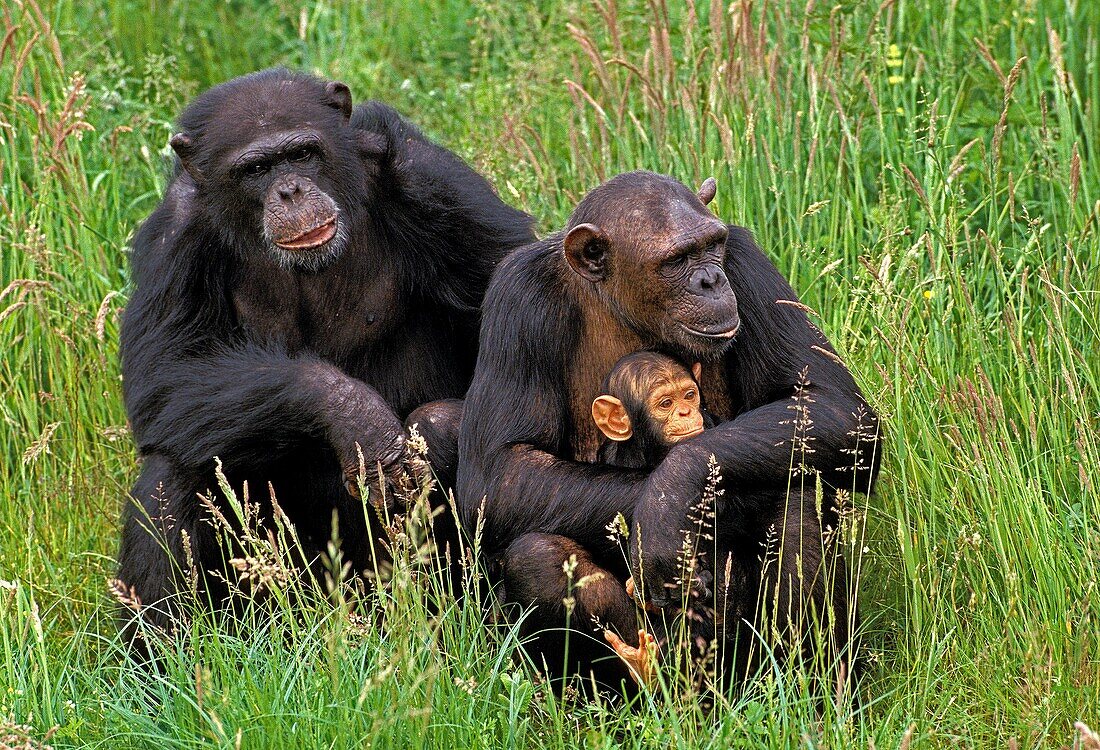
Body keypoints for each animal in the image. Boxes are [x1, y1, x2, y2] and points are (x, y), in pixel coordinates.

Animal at [118, 68, 534, 642]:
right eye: (256, 169)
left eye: (302, 153)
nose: (290, 189)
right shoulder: (174, 237)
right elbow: (164, 376)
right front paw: (355, 416)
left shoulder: (433, 181)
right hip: (291, 587)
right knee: (173, 469)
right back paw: (165, 655)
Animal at [459, 170, 880, 690]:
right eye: (677, 259)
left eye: (712, 246)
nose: (710, 279)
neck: (619, 305)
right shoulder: (516, 300)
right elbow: (500, 471)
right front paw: (690, 512)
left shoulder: (750, 267)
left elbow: (836, 408)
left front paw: (670, 499)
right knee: (537, 555)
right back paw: (649, 675)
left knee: (793, 496)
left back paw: (813, 687)